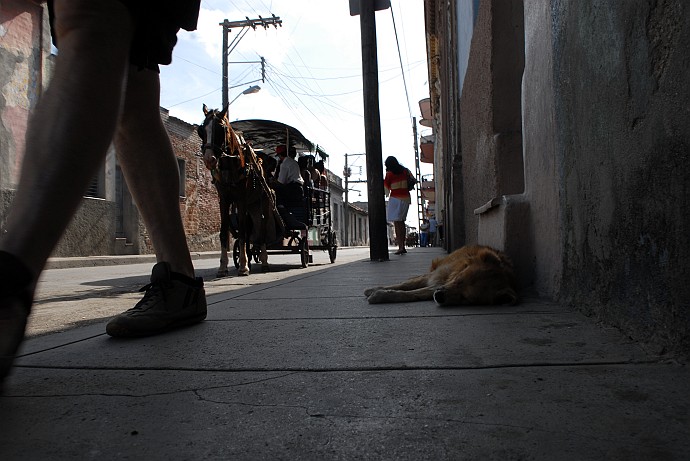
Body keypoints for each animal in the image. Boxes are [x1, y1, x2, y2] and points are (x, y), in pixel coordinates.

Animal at [196, 104, 282, 274]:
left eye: (221, 129)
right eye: (201, 130)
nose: (209, 159)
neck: (231, 165)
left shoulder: (241, 198)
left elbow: (242, 230)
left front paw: (243, 265)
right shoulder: (224, 199)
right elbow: (224, 231)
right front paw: (223, 266)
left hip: (264, 202)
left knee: (262, 228)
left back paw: (263, 261)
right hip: (250, 205)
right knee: (250, 230)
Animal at [366, 244, 516, 306]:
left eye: (466, 298)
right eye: (458, 280)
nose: (439, 296)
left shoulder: (435, 286)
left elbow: (411, 293)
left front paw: (381, 295)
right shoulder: (436, 278)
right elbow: (404, 285)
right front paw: (374, 289)